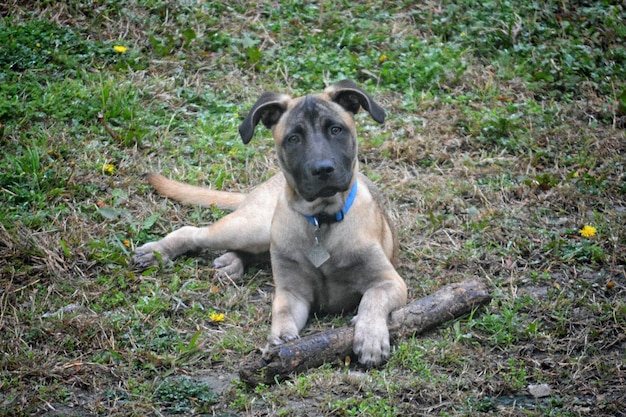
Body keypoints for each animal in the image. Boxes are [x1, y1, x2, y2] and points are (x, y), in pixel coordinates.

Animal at [132, 79, 408, 366]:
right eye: (293, 138)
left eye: (336, 129)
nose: (322, 170)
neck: (321, 221)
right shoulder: (292, 293)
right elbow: (282, 312)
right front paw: (281, 340)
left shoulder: (389, 282)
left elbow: (372, 299)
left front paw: (371, 338)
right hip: (252, 228)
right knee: (194, 232)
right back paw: (157, 251)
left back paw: (230, 263)